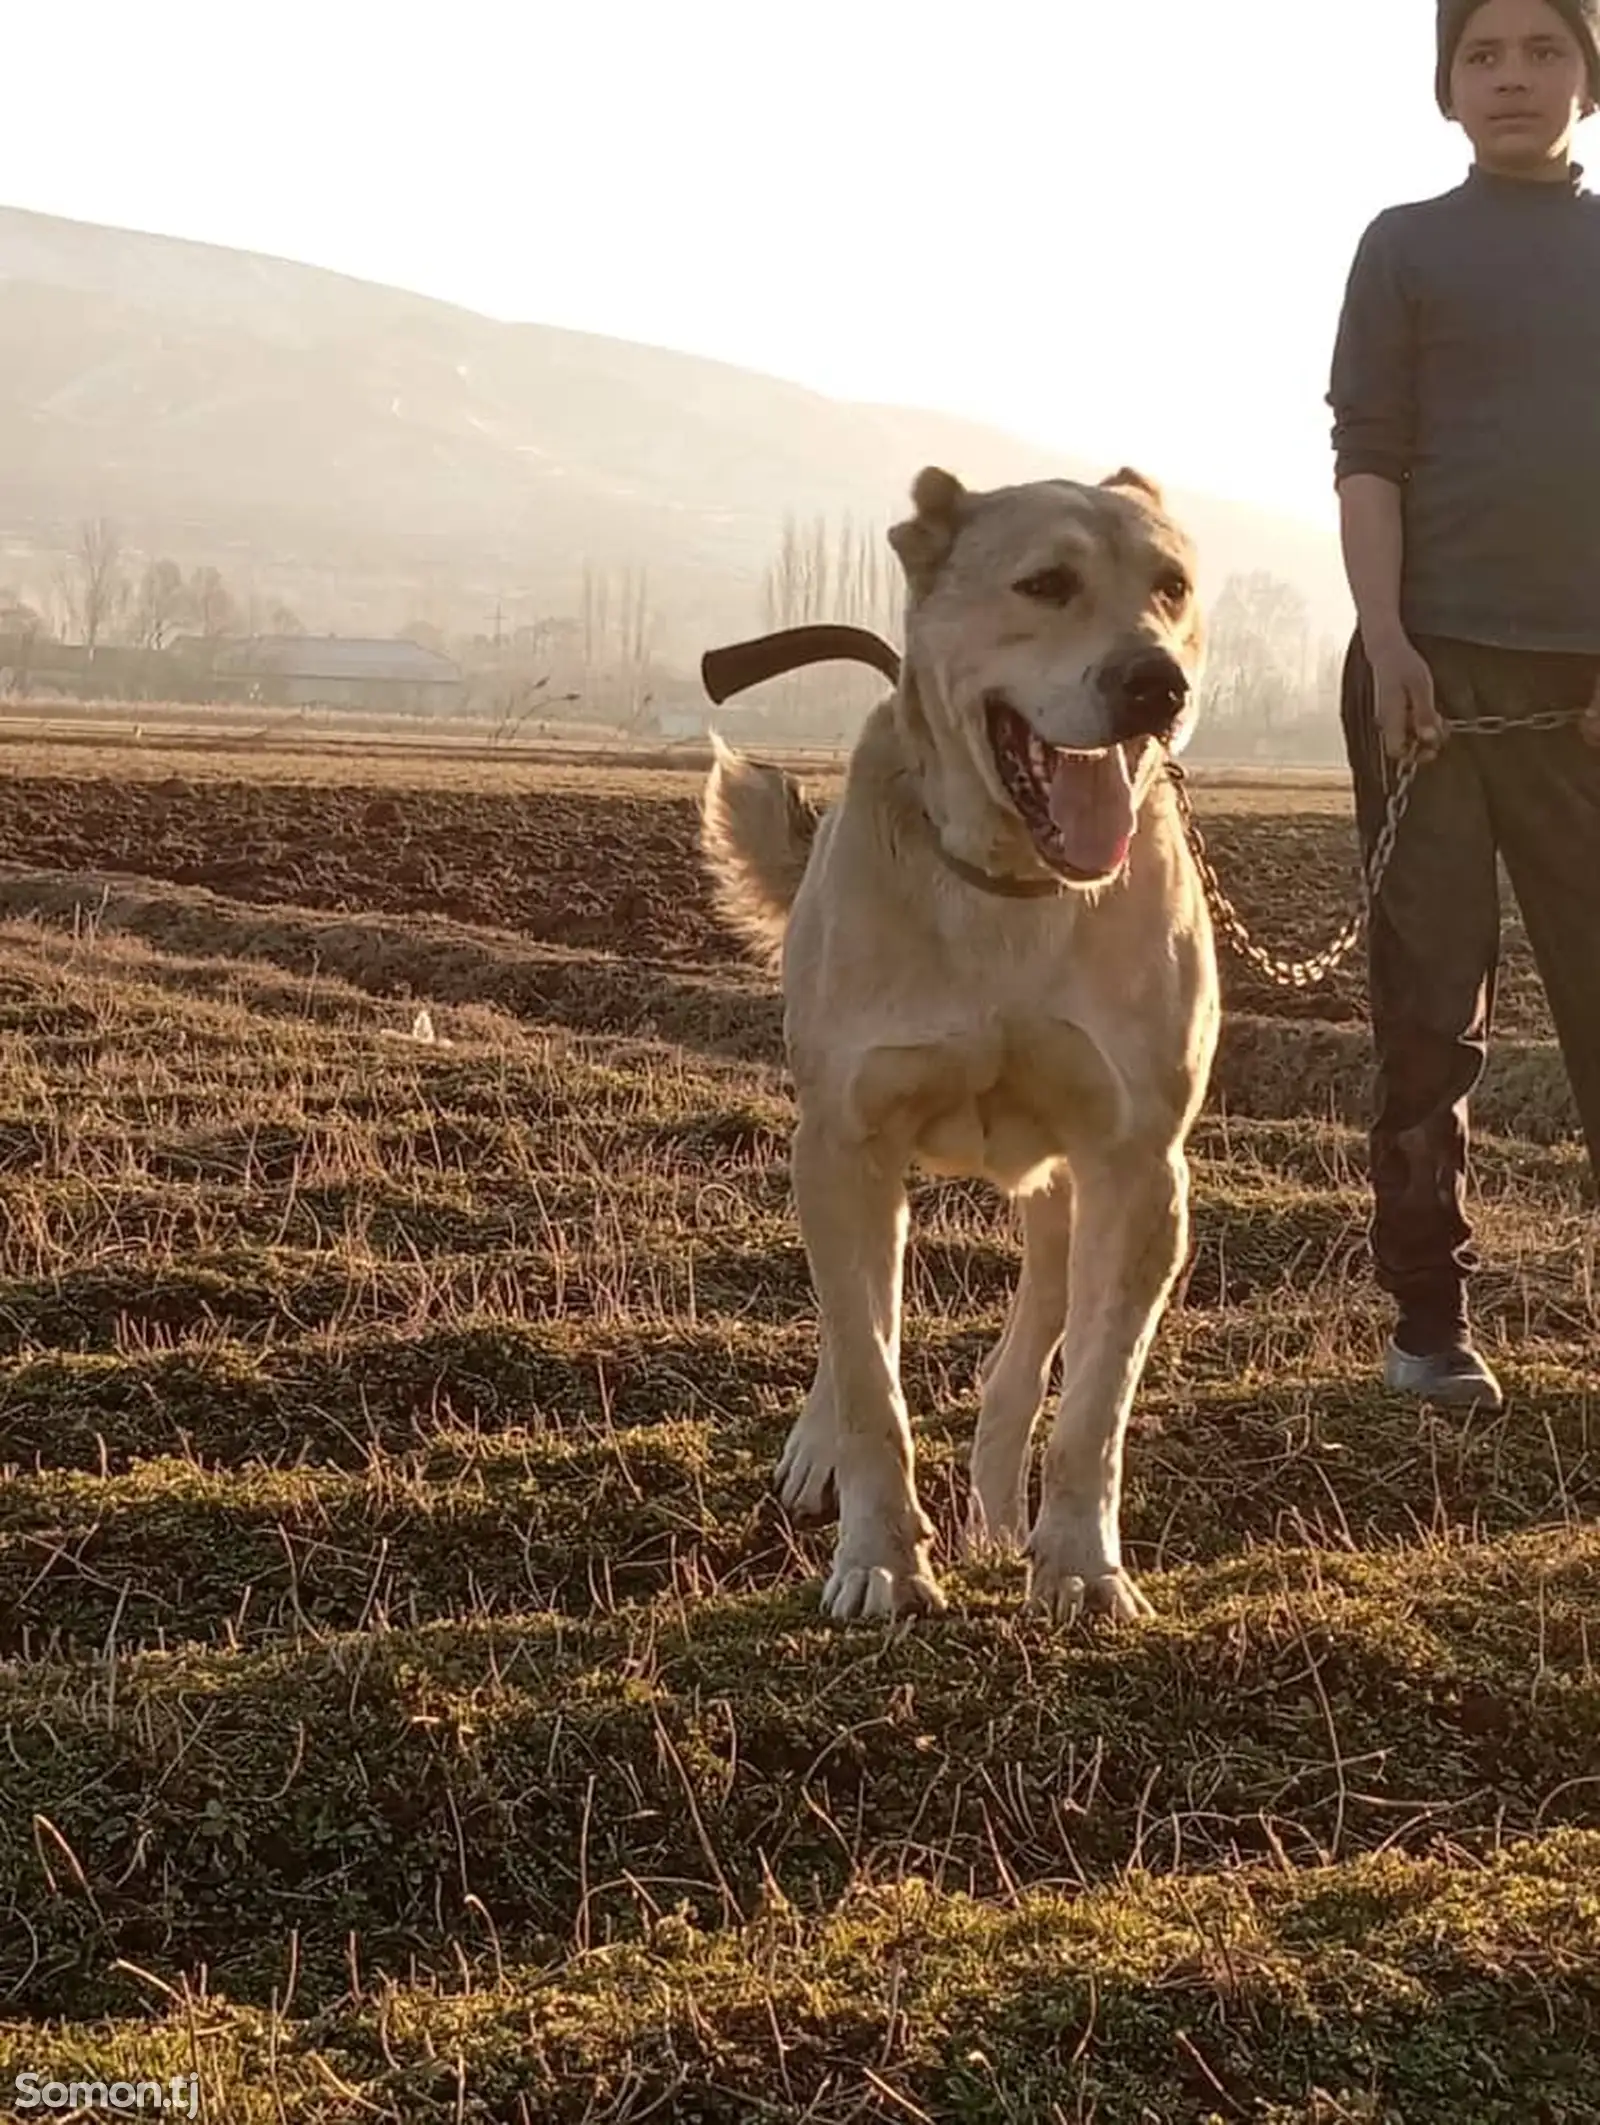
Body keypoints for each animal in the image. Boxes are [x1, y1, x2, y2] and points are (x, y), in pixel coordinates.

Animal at [701, 469, 1223, 1623]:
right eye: (1046, 582)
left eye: (1171, 586)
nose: (1154, 685)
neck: (1010, 890)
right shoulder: (844, 1142)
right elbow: (869, 1376)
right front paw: (881, 1559)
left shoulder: (1138, 1167)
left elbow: (1094, 1406)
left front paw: (1079, 1562)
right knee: (859, 1329)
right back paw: (824, 1452)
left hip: (1062, 1195)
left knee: (1023, 1361)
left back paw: (995, 1505)